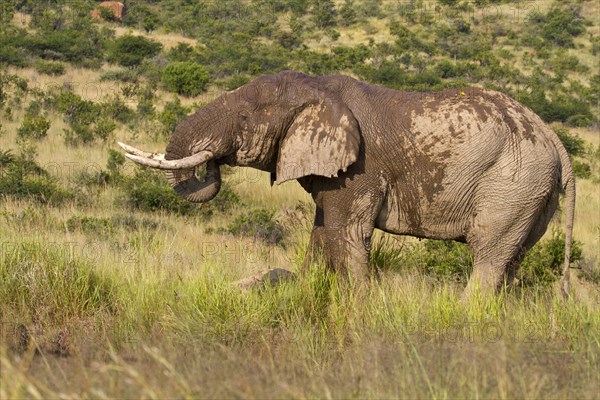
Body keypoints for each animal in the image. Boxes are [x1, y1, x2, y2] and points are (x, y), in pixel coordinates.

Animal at [118, 72, 576, 296]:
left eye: (245, 119)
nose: (212, 163)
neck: (317, 88)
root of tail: (554, 139)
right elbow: (322, 232)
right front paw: (303, 291)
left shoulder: (359, 169)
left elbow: (346, 232)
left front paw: (359, 307)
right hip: (531, 193)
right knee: (512, 259)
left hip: (512, 183)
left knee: (489, 255)